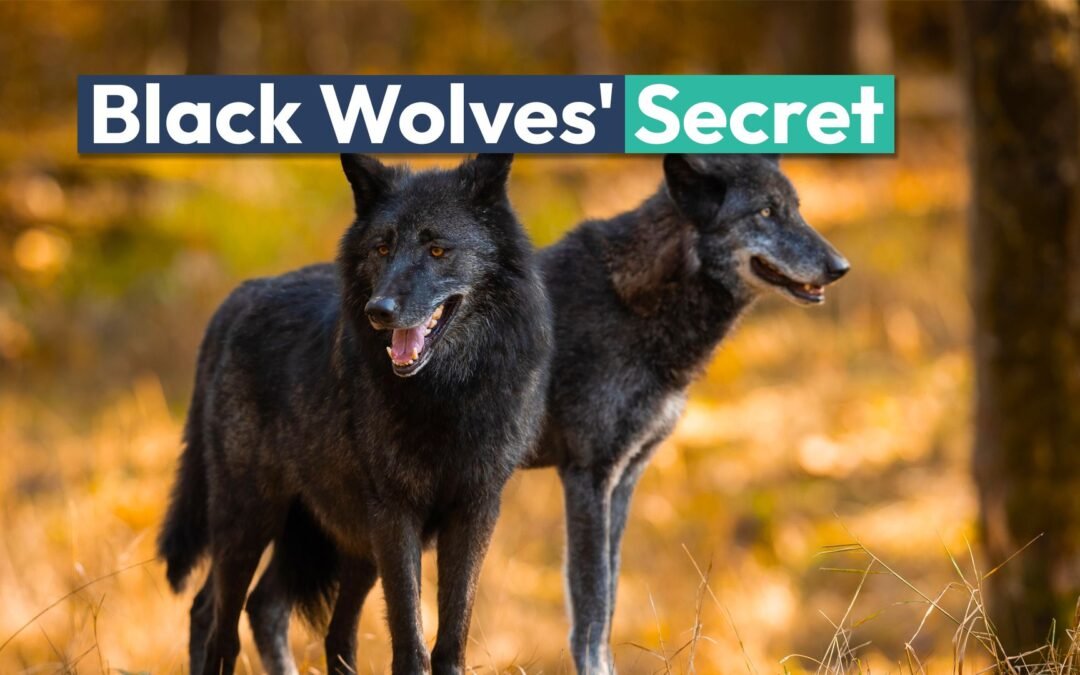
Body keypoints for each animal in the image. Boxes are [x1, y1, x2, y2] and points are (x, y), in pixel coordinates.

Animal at [157, 153, 553, 675]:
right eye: (382, 248)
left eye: (438, 251)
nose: (379, 310)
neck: (446, 394)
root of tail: (239, 298)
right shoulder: (394, 516)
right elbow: (410, 641)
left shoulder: (475, 511)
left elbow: (451, 638)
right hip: (252, 517)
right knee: (218, 619)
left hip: (342, 544)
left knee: (287, 616)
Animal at [245, 154, 849, 674]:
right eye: (765, 213)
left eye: (795, 208)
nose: (838, 266)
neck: (631, 301)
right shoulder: (587, 476)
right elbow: (590, 611)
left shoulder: (623, 479)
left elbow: (608, 599)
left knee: (266, 604)